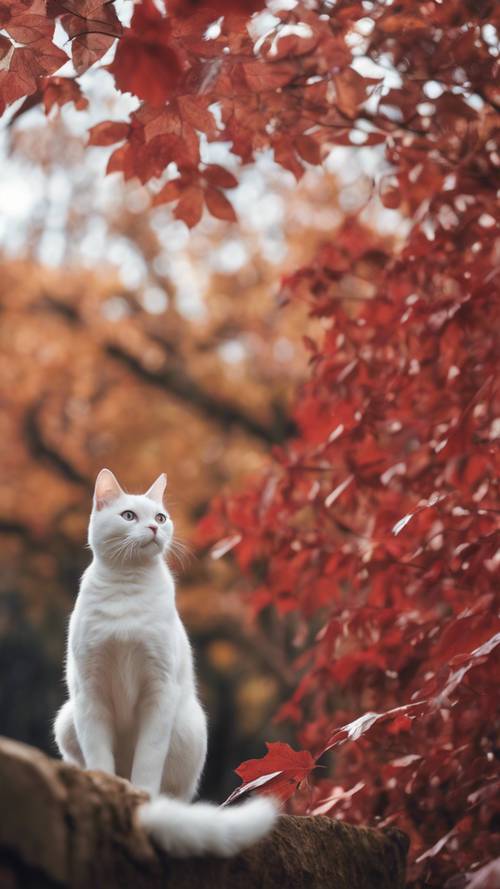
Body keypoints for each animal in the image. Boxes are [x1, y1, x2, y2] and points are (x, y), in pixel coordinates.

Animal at [54, 468, 278, 856]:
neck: (126, 590)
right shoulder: (89, 692)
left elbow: (148, 759)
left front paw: (142, 796)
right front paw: (108, 787)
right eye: (129, 515)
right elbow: (99, 755)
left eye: (160, 517)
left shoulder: (159, 690)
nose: (154, 528)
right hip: (67, 719)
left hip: (189, 725)